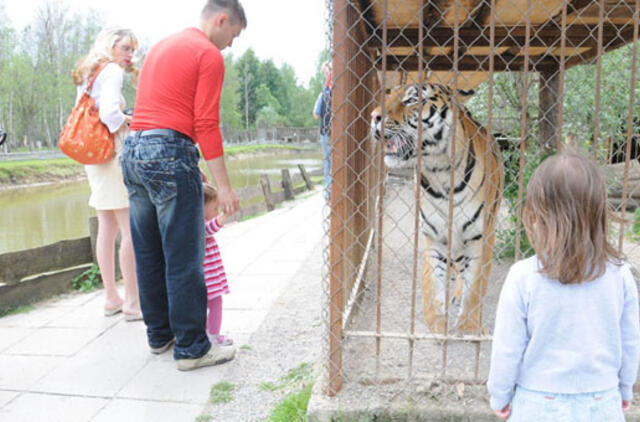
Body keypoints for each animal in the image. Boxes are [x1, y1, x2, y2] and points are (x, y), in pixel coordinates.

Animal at [370, 81, 504, 332]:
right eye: (389, 93)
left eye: (411, 100)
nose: (373, 116)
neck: (440, 171)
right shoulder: (434, 237)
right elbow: (432, 289)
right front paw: (438, 326)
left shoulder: (480, 237)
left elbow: (475, 289)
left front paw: (469, 327)